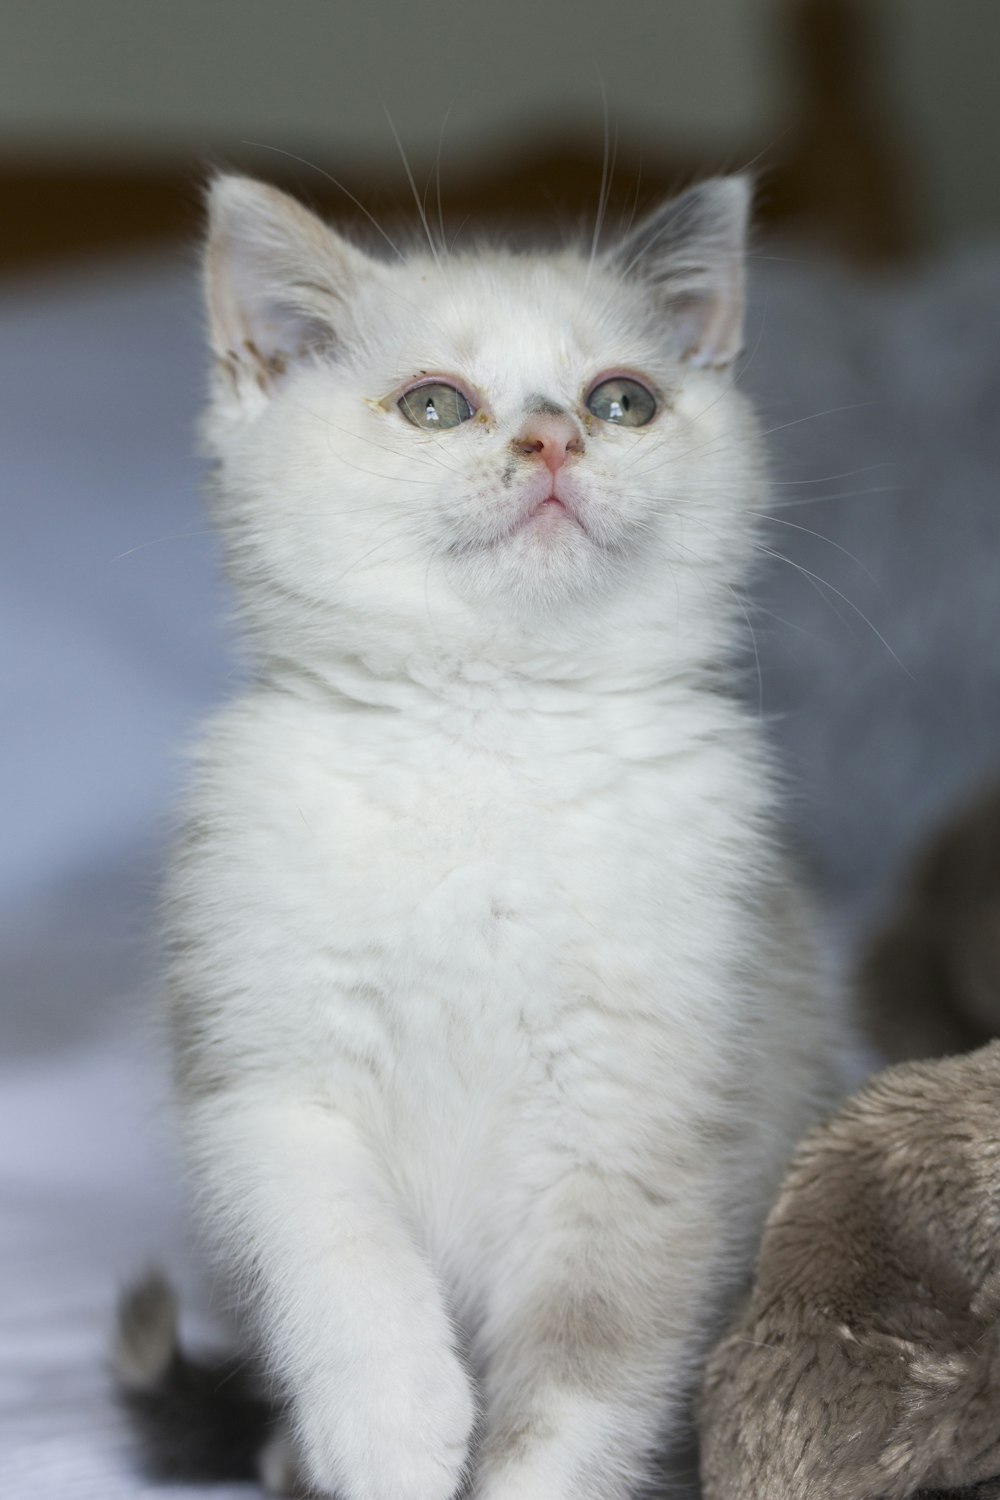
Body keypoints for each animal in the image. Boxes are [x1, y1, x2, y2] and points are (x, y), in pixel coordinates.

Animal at [166, 175, 845, 1500]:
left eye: (622, 400)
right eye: (436, 403)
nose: (552, 441)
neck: (489, 732)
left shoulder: (643, 1122)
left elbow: (580, 1383)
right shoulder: (270, 1077)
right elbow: (337, 1262)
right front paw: (389, 1432)